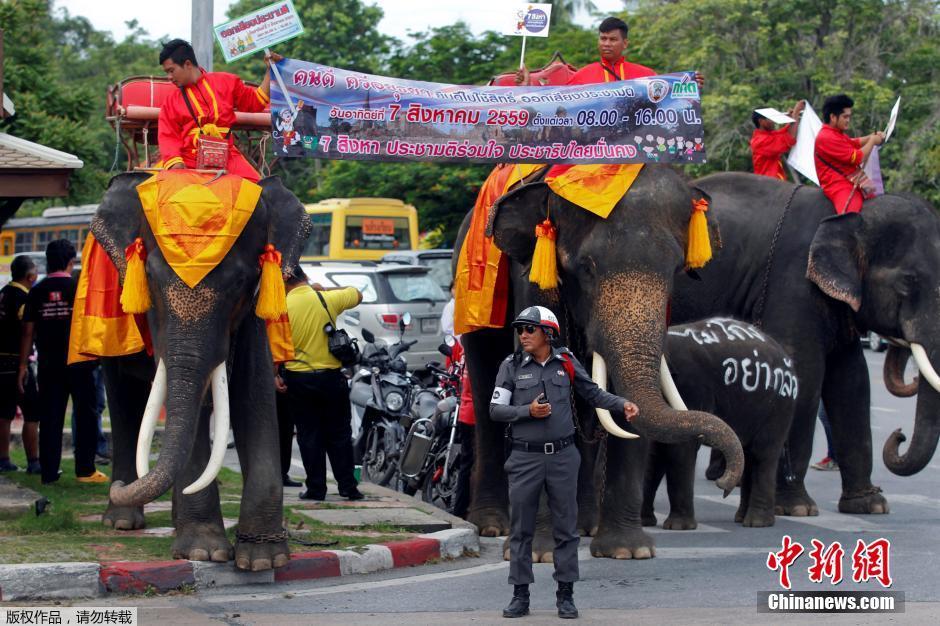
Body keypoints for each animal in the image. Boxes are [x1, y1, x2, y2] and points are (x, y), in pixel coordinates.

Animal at [88, 168, 310, 568]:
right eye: (150, 279)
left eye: (240, 282)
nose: (119, 488)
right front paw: (203, 552)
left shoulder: (252, 315)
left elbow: (255, 399)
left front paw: (263, 560)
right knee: (125, 401)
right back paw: (122, 521)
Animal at [458, 163, 744, 560]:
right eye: (587, 269)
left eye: (674, 270)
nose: (726, 483)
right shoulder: (533, 276)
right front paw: (541, 554)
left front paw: (627, 551)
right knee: (487, 384)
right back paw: (491, 526)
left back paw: (585, 525)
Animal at [648, 316, 800, 528]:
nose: (723, 488)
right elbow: (656, 451)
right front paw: (646, 522)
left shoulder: (693, 388)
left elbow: (681, 448)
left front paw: (678, 527)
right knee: (748, 454)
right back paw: (742, 519)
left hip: (780, 405)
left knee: (763, 454)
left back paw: (757, 523)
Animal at [672, 172, 940, 516]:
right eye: (908, 280)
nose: (899, 435)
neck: (852, 214)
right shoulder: (793, 284)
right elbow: (805, 373)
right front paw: (795, 509)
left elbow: (852, 382)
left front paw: (870, 505)